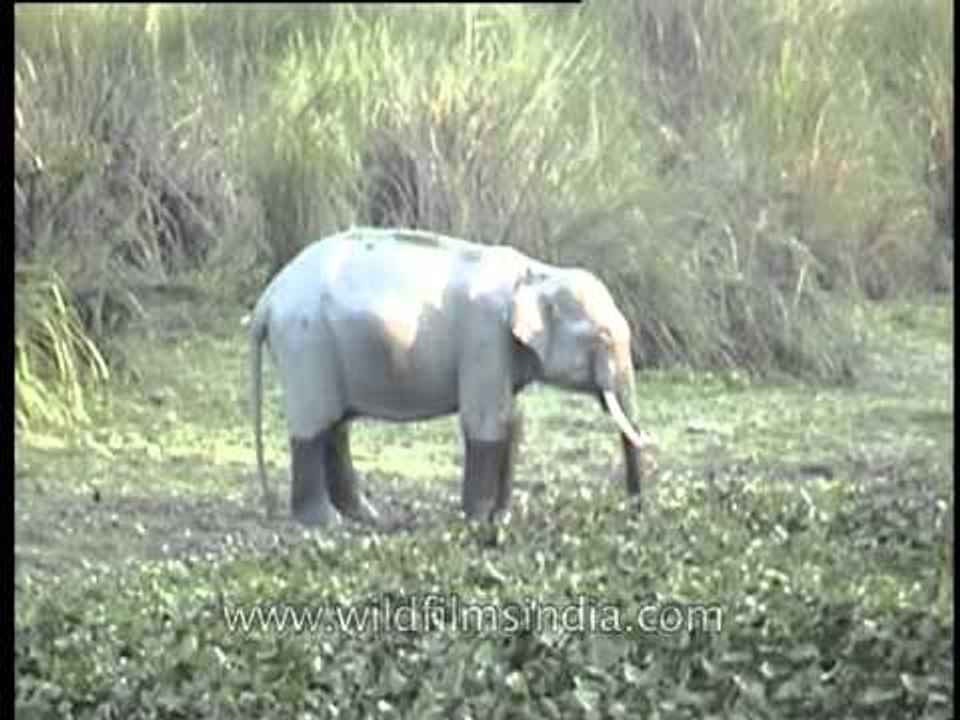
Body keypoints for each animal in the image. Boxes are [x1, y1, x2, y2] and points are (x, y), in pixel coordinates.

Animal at [249, 227, 655, 527]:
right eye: (603, 338)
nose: (635, 512)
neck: (538, 273)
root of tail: (267, 298)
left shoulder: (501, 351)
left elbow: (510, 420)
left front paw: (500, 518)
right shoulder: (485, 338)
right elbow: (485, 423)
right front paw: (477, 521)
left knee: (336, 428)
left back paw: (364, 516)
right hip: (306, 345)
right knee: (313, 429)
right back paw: (324, 522)